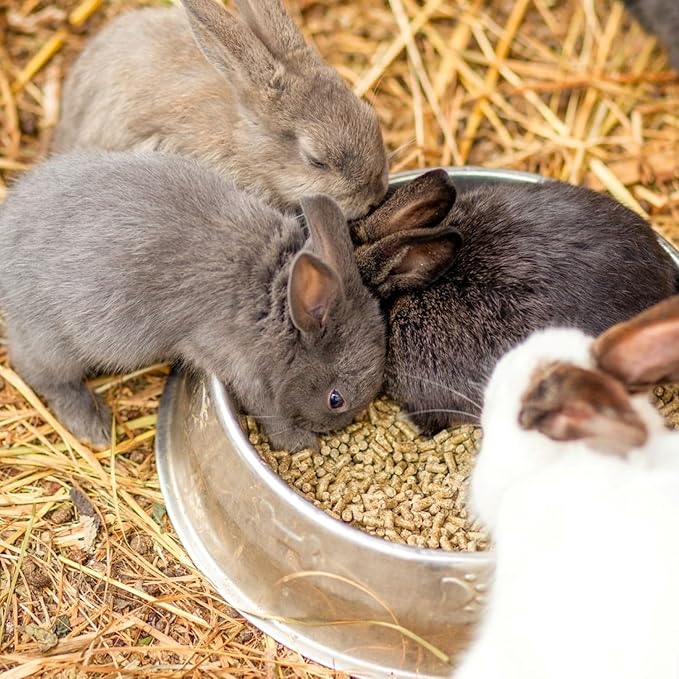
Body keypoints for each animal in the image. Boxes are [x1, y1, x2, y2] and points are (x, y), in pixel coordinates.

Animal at [0, 151, 386, 451]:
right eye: (336, 399)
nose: (334, 428)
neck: (276, 299)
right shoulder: (242, 369)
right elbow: (269, 411)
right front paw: (300, 443)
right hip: (53, 344)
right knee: (43, 377)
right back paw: (94, 424)